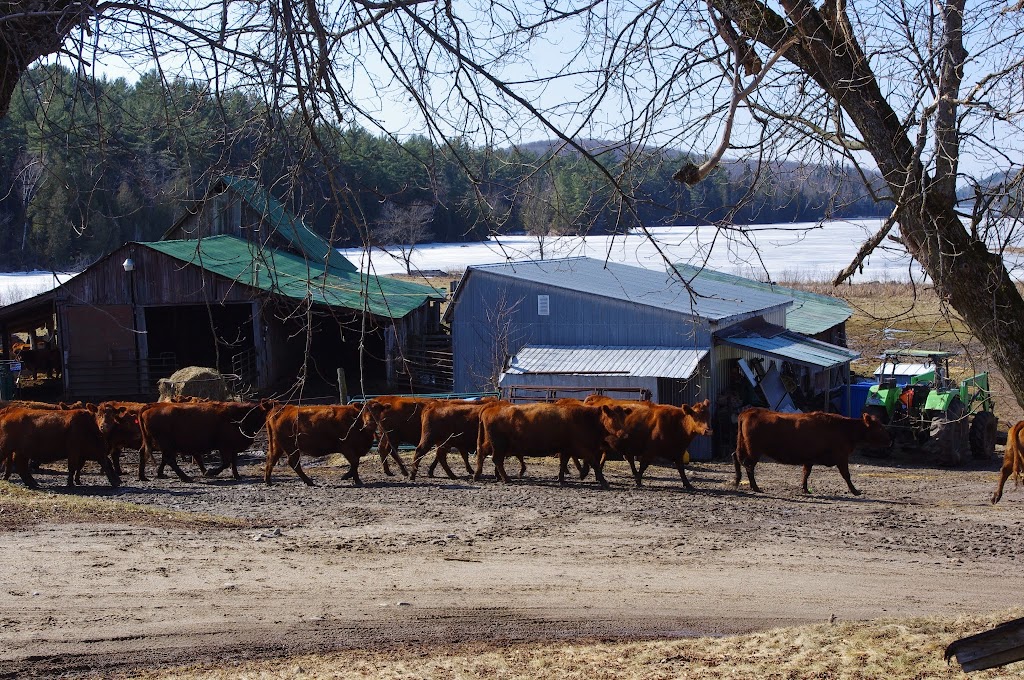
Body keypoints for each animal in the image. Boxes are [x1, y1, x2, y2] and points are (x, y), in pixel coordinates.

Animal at [142, 399, 276, 483]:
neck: (239, 416)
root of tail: (152, 406)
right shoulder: (225, 447)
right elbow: (226, 462)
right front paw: (211, 472)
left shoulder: (233, 447)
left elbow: (233, 462)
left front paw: (236, 475)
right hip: (167, 445)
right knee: (170, 460)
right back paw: (185, 477)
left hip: (164, 446)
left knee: (162, 458)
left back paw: (158, 474)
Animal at [475, 399, 626, 489]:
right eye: (613, 418)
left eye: (623, 418)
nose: (624, 434)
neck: (586, 418)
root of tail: (491, 408)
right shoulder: (582, 448)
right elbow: (594, 464)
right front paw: (602, 481)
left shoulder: (566, 449)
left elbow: (563, 463)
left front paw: (561, 479)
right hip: (499, 445)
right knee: (496, 459)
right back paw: (505, 479)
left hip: (492, 444)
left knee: (482, 453)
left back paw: (478, 474)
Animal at [737, 405, 888, 497]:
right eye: (880, 427)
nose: (890, 440)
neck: (844, 428)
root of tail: (749, 411)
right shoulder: (841, 457)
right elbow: (846, 475)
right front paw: (855, 491)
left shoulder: (809, 459)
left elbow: (806, 473)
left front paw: (805, 489)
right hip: (754, 451)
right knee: (748, 466)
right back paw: (755, 487)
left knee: (737, 458)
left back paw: (738, 480)